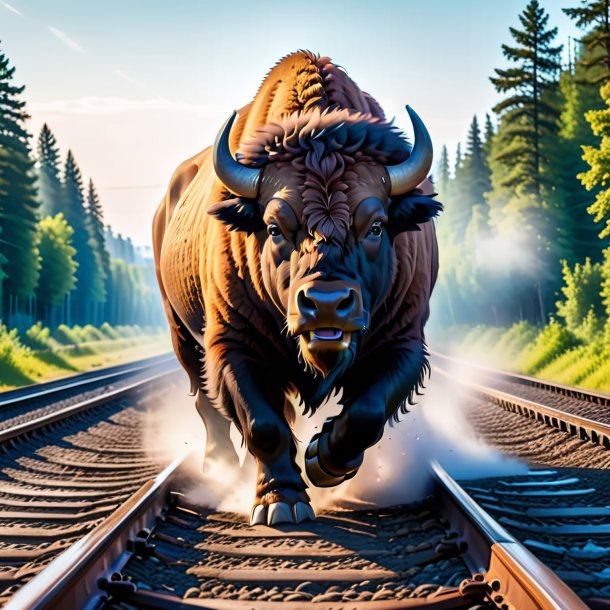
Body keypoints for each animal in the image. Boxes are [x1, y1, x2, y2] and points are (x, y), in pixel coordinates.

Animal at [152, 51, 436, 524]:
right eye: (273, 227)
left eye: (376, 225)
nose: (326, 303)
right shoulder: (233, 344)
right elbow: (263, 424)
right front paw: (280, 503)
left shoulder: (404, 341)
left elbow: (366, 413)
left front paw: (324, 461)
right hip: (181, 333)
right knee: (206, 402)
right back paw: (220, 467)